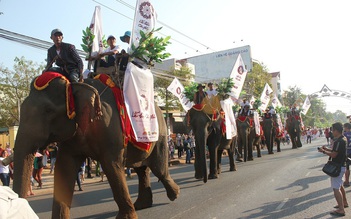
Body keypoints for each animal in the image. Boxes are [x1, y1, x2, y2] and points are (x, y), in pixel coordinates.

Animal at [12, 73, 180, 219]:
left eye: (48, 110)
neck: (75, 84)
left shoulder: (110, 129)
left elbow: (111, 166)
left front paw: (126, 218)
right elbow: (64, 168)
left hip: (160, 135)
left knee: (158, 168)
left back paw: (174, 194)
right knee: (142, 169)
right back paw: (142, 205)